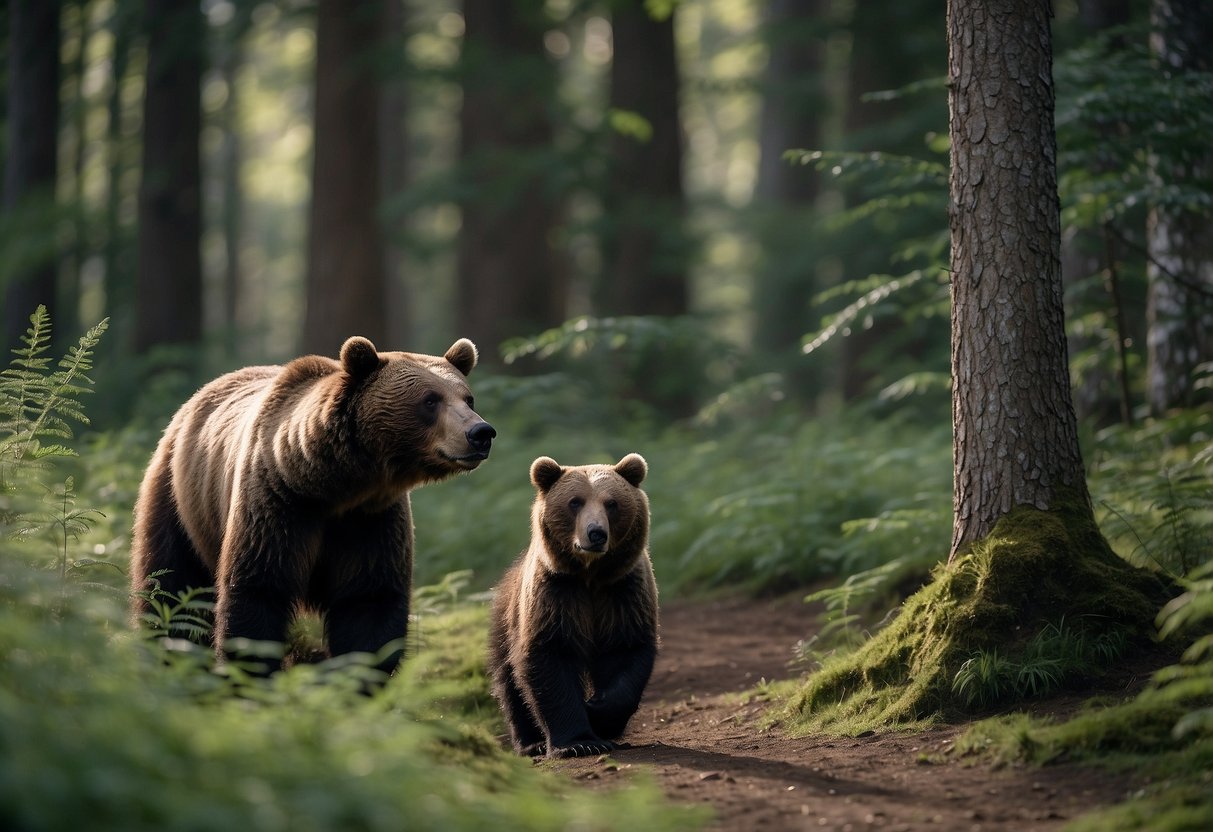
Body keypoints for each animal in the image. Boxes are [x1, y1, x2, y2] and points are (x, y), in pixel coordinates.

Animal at [131, 334, 492, 679]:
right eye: (430, 399)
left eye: (468, 398)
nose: (481, 432)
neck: (332, 485)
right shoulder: (278, 505)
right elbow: (258, 591)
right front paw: (252, 676)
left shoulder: (370, 520)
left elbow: (369, 602)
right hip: (178, 498)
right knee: (171, 587)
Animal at [485, 456, 659, 761]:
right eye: (575, 502)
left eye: (611, 503)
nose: (596, 533)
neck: (590, 575)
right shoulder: (557, 593)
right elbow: (551, 657)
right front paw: (580, 742)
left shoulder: (622, 591)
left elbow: (626, 651)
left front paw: (599, 712)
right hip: (507, 620)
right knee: (509, 682)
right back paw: (531, 743)